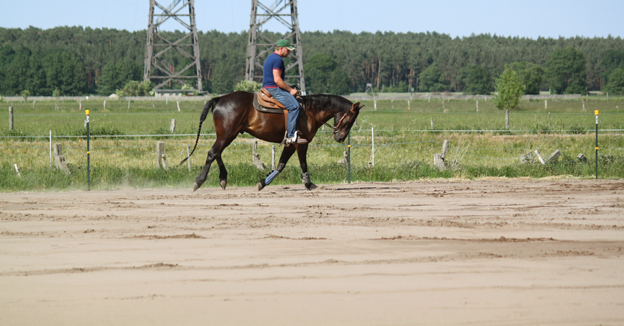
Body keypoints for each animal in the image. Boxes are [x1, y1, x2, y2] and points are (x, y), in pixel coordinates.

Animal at [180, 90, 364, 192]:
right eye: (350, 120)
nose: (340, 137)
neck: (309, 111)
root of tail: (219, 99)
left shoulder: (291, 144)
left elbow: (281, 165)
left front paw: (263, 182)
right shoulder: (301, 143)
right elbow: (303, 163)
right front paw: (309, 184)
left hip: (227, 135)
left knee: (217, 153)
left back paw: (223, 178)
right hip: (227, 135)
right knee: (213, 153)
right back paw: (199, 181)